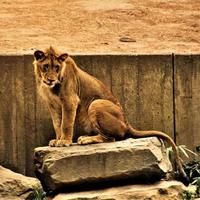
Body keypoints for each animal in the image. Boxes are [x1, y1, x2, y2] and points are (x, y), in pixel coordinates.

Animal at [33, 46, 189, 185]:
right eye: (45, 66)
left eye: (57, 68)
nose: (51, 79)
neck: (50, 88)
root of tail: (126, 122)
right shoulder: (53, 105)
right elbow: (57, 124)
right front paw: (57, 140)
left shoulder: (70, 100)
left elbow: (65, 123)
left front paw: (64, 141)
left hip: (95, 103)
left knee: (111, 138)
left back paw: (86, 139)